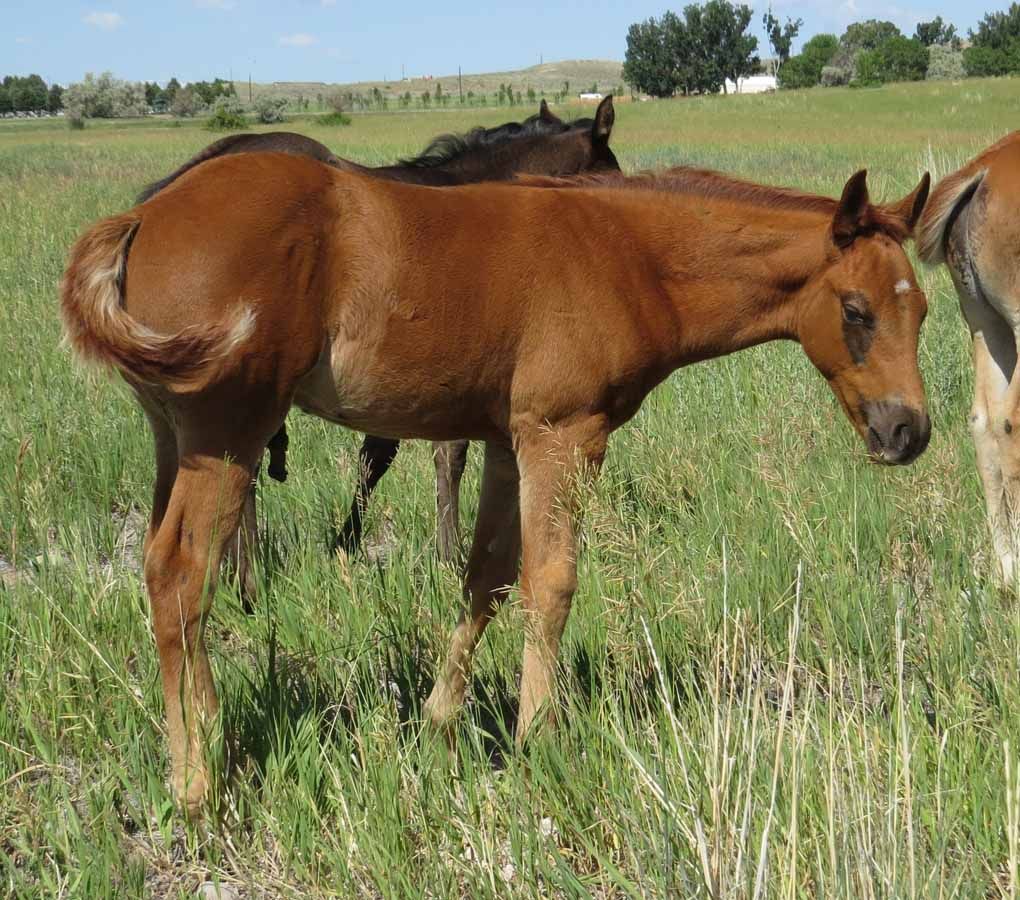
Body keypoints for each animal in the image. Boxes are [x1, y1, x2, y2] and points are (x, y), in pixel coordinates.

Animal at [61, 155, 931, 816]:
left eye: (920, 310)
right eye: (855, 310)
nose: (908, 433)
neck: (627, 255)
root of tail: (141, 217)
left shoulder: (508, 443)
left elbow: (488, 577)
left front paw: (441, 721)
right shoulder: (564, 434)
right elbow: (553, 581)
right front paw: (538, 737)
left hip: (173, 438)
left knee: (161, 576)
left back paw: (194, 744)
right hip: (228, 435)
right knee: (180, 575)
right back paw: (197, 781)